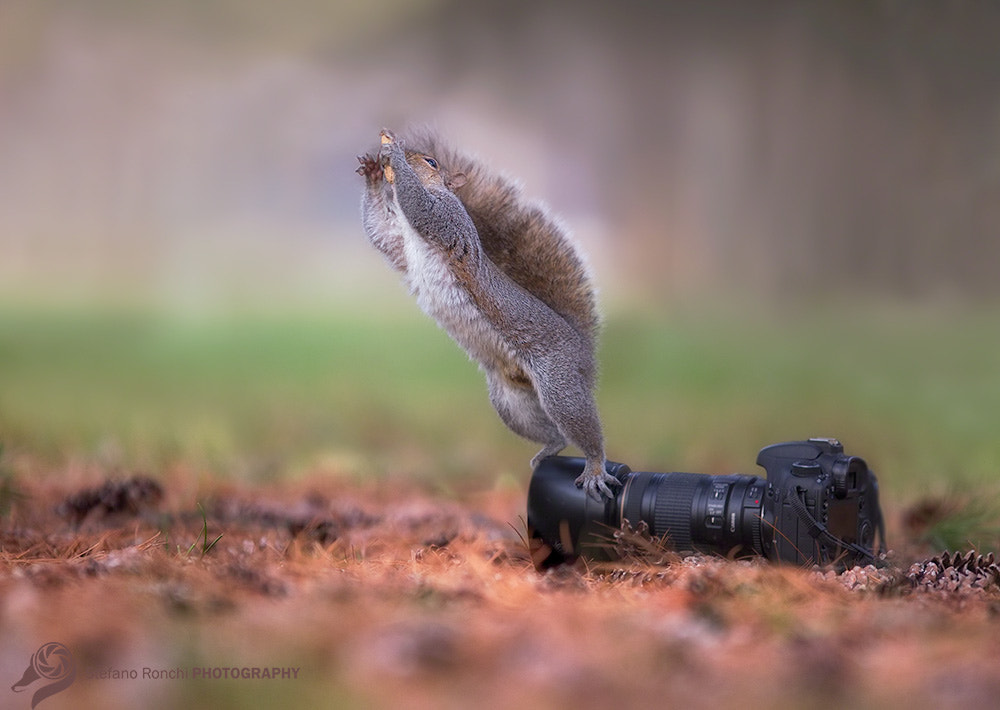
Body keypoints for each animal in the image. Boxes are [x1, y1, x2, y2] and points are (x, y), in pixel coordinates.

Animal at [356, 128, 620, 500]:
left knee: (581, 427)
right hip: (511, 403)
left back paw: (595, 467)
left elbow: (420, 206)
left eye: (432, 162)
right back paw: (550, 446)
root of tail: (583, 347)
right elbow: (379, 230)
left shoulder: (446, 216)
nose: (399, 154)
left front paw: (393, 155)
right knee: (555, 433)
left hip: (560, 383)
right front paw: (372, 173)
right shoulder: (398, 242)